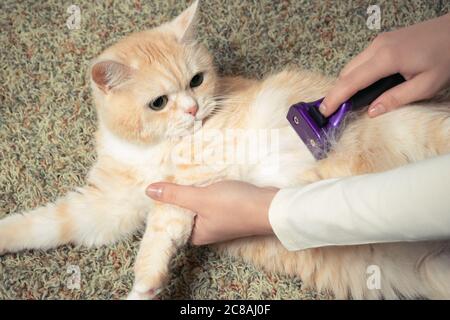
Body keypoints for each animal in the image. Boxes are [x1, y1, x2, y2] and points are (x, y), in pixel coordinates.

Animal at [0, 1, 450, 298]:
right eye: (158, 102)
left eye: (197, 80)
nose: (193, 108)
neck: (151, 150)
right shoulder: (108, 207)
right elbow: (46, 223)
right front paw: (7, 234)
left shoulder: (189, 180)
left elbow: (159, 228)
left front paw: (144, 284)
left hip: (420, 130)